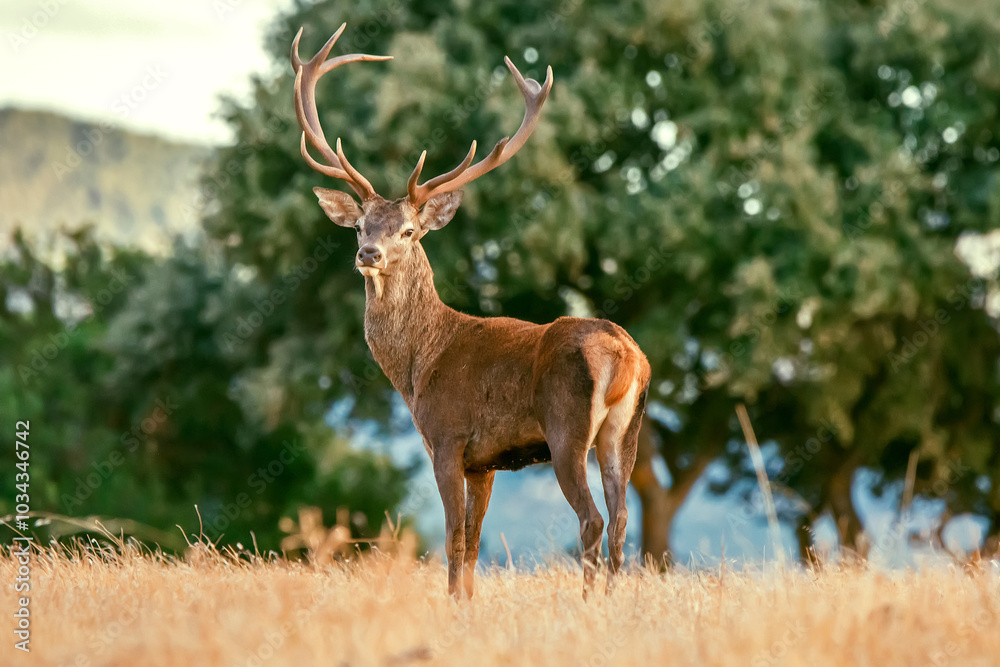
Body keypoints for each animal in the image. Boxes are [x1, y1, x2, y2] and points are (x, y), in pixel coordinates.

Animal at [291, 23, 651, 598]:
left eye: (408, 231)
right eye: (359, 225)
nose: (368, 254)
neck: (418, 367)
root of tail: (627, 356)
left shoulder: (447, 437)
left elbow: (453, 540)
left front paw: (451, 604)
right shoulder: (486, 463)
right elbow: (476, 545)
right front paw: (468, 604)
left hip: (567, 428)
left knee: (593, 519)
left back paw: (588, 601)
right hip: (625, 429)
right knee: (620, 520)